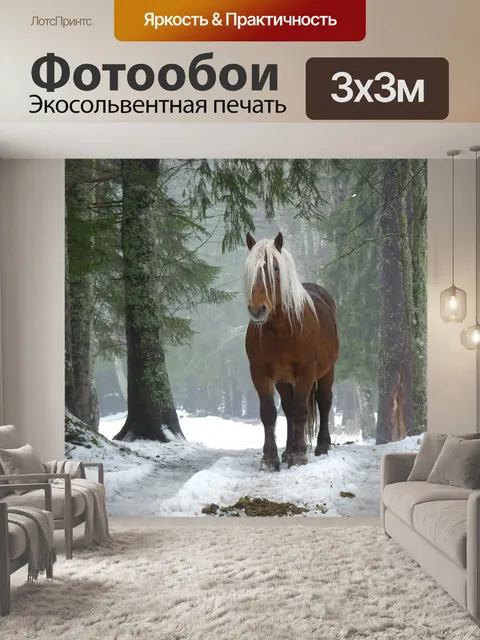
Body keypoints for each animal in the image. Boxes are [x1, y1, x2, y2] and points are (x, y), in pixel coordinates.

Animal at [244, 232, 339, 471]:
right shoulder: (260, 373)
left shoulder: (306, 372)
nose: (257, 309)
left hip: (327, 371)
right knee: (287, 409)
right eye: (250, 270)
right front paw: (270, 458)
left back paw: (321, 446)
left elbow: (301, 411)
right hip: (284, 380)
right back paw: (286, 451)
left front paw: (299, 455)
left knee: (323, 402)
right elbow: (269, 413)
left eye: (276, 268)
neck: (282, 330)